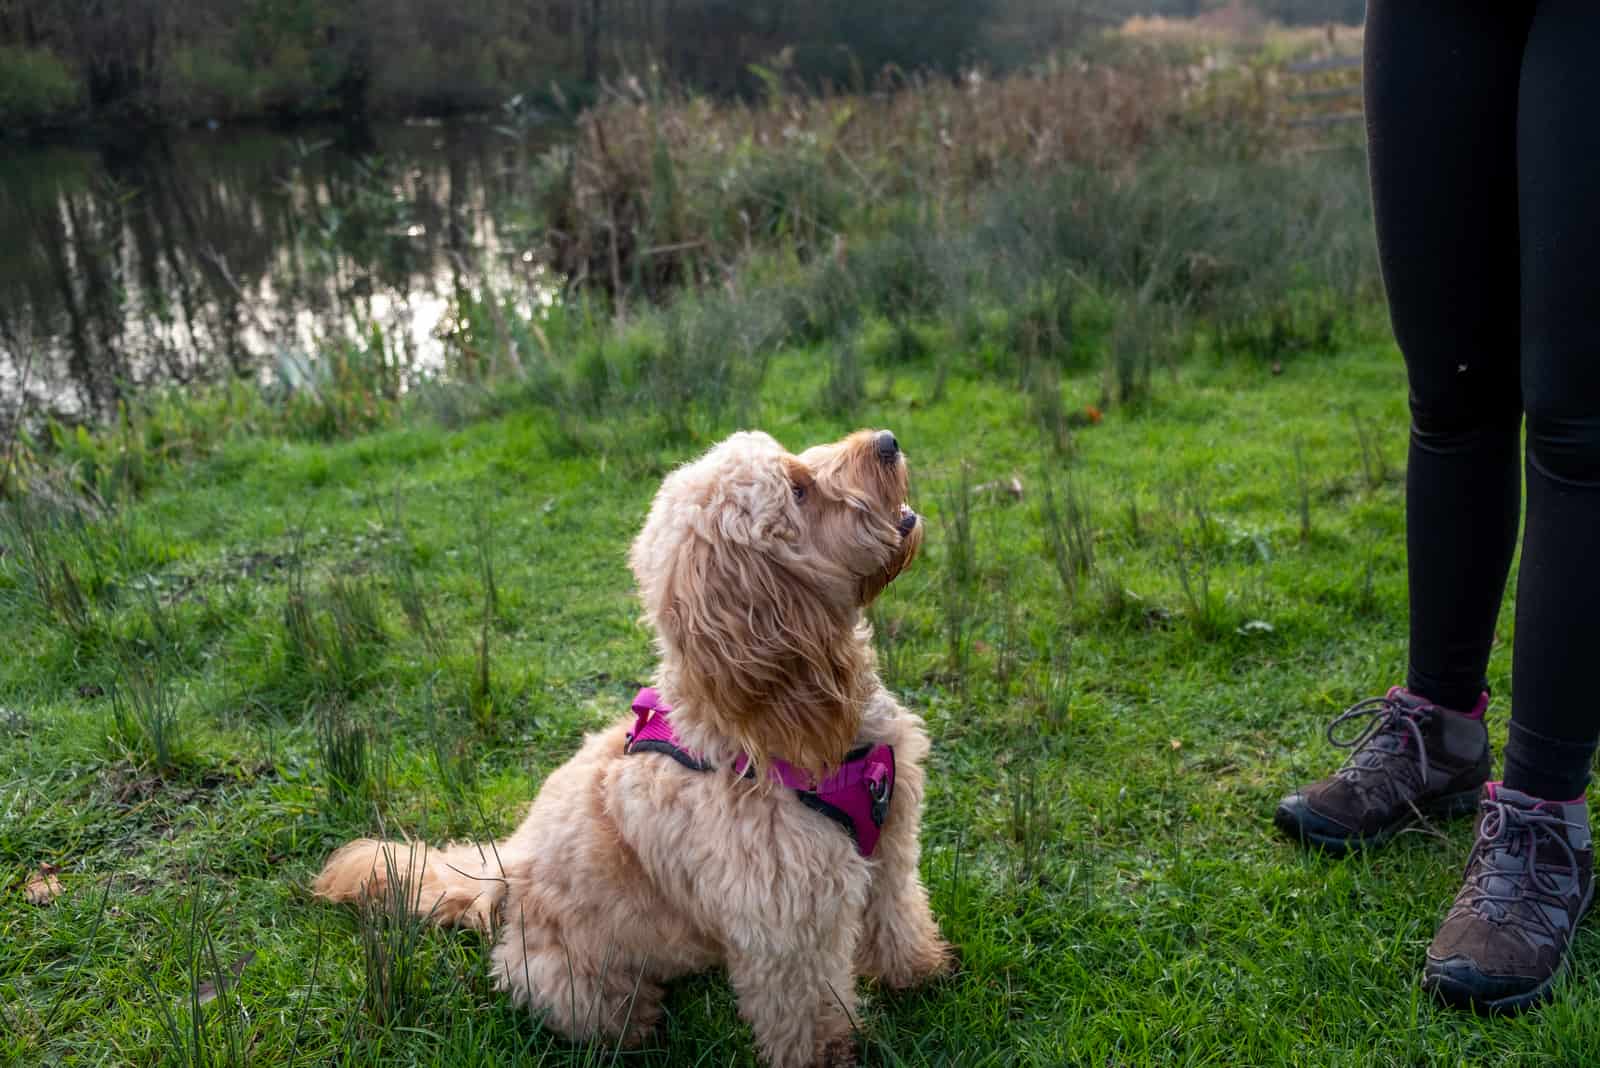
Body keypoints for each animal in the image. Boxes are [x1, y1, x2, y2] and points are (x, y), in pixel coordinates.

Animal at [312, 428, 947, 1061]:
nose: (887, 440)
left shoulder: (890, 848)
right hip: (570, 979)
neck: (761, 730)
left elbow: (897, 917)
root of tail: (507, 865)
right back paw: (637, 1028)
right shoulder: (787, 930)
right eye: (798, 490)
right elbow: (811, 1015)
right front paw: (834, 1056)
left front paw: (919, 974)